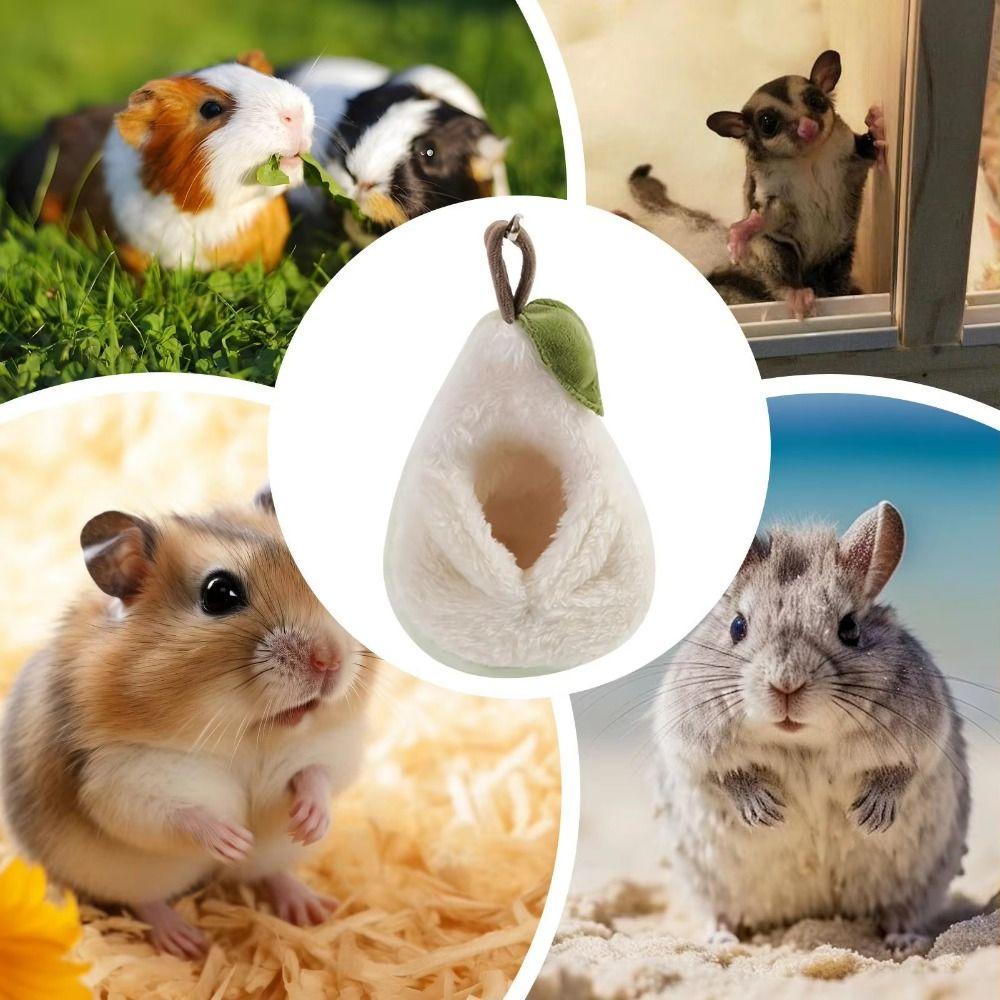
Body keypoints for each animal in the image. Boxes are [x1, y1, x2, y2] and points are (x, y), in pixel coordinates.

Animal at [0, 487, 372, 959]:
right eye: (220, 594)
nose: (330, 661)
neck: (250, 733)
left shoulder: (333, 744)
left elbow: (318, 775)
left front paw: (309, 823)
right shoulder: (122, 778)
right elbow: (178, 815)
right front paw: (233, 839)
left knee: (268, 873)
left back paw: (312, 909)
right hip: (121, 873)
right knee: (145, 901)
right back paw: (185, 941)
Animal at [652, 502, 968, 955]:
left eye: (849, 628)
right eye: (736, 627)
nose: (786, 684)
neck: (802, 740)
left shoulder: (927, 734)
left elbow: (901, 770)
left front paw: (871, 815)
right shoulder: (686, 741)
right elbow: (723, 774)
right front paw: (764, 809)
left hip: (921, 882)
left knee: (903, 911)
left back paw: (904, 940)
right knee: (720, 911)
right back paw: (720, 940)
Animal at [705, 51, 886, 318]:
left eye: (816, 100)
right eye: (767, 122)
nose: (807, 127)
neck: (807, 158)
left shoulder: (847, 153)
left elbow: (865, 151)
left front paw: (876, 124)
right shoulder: (770, 186)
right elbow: (769, 216)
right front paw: (744, 230)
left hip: (838, 254)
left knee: (836, 271)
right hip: (772, 253)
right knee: (778, 258)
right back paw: (796, 293)